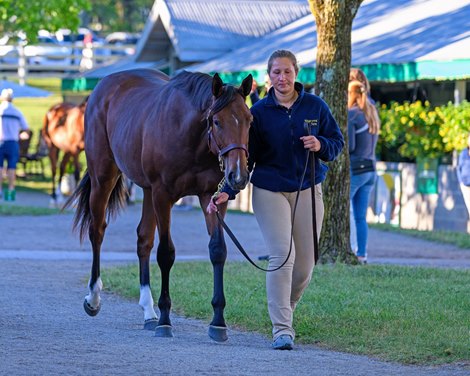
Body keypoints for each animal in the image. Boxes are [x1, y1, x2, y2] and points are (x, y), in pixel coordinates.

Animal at [64, 69, 253, 342]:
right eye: (217, 121)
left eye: (249, 120)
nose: (238, 176)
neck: (189, 135)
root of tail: (105, 84)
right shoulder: (163, 195)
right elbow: (166, 253)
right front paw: (165, 319)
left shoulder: (210, 196)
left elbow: (218, 250)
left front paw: (218, 321)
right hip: (104, 176)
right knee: (97, 231)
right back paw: (94, 297)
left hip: (147, 190)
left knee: (143, 239)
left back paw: (148, 310)